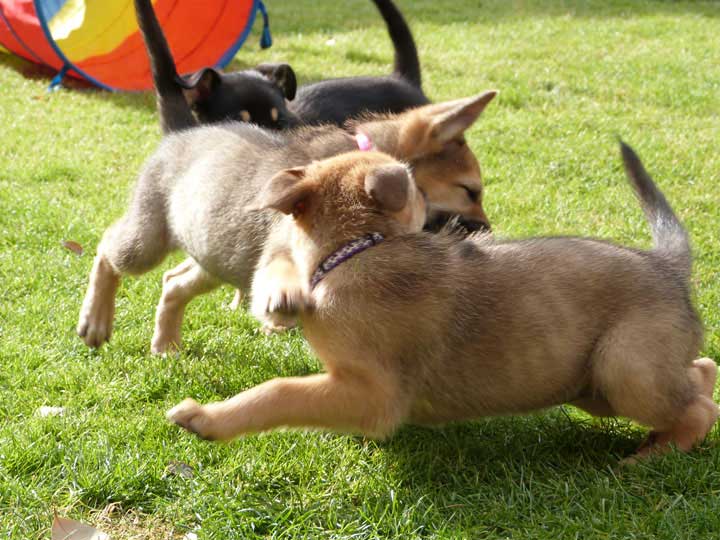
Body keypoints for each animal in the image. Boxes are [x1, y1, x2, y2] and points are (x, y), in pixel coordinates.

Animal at [77, 92, 496, 354]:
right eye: (469, 191)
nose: (490, 232)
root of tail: (181, 131)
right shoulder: (282, 251)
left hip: (217, 256)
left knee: (173, 282)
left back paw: (165, 346)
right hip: (147, 240)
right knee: (107, 248)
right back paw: (95, 321)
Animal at [167, 144, 716, 464]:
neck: (356, 249)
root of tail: (668, 267)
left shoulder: (376, 394)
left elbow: (279, 390)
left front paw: (207, 419)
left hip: (624, 369)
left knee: (701, 408)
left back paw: (655, 455)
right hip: (591, 385)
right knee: (702, 371)